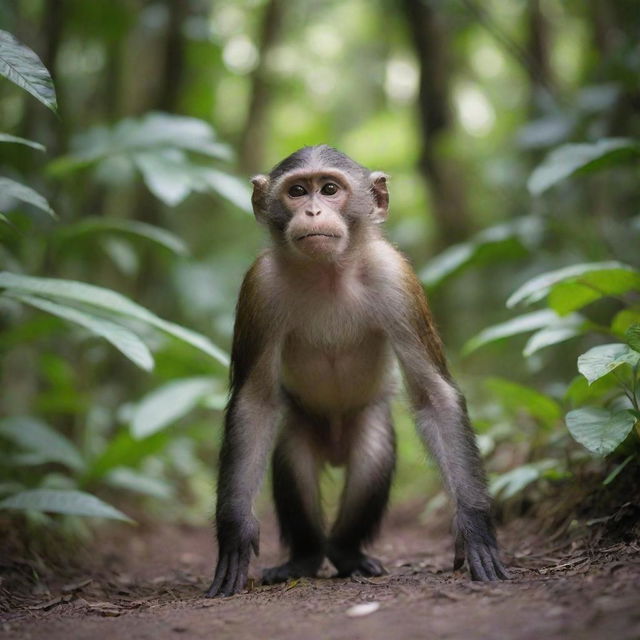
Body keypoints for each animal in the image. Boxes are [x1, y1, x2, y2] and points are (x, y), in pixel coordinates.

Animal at [208, 142, 508, 596]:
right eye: (297, 191)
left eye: (330, 189)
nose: (313, 210)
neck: (328, 271)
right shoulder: (260, 287)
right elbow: (254, 403)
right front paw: (235, 531)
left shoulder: (396, 278)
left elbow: (434, 396)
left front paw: (474, 527)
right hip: (304, 424)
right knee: (294, 462)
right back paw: (306, 556)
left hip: (366, 422)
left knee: (371, 459)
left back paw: (347, 552)